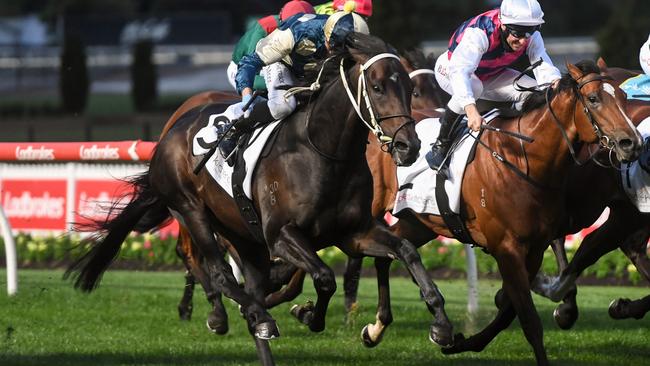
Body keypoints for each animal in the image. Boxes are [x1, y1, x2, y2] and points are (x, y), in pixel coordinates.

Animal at [63, 33, 454, 364]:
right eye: (377, 87)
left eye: (408, 88)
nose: (409, 146)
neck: (325, 152)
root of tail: (171, 132)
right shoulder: (281, 236)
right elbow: (324, 276)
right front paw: (309, 315)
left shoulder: (353, 232)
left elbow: (405, 251)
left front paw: (441, 325)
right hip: (192, 211)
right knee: (220, 274)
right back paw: (246, 313)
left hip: (242, 235)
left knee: (245, 283)